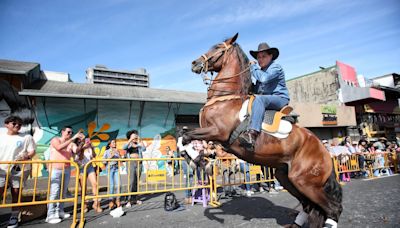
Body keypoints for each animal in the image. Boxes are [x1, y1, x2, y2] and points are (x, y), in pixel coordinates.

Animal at [183, 33, 342, 228]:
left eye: (218, 48)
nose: (195, 63)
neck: (225, 98)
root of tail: (325, 152)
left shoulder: (217, 132)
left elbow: (187, 136)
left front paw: (198, 161)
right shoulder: (212, 135)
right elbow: (187, 139)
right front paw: (197, 160)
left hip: (306, 183)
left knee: (333, 208)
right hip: (287, 178)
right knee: (309, 206)